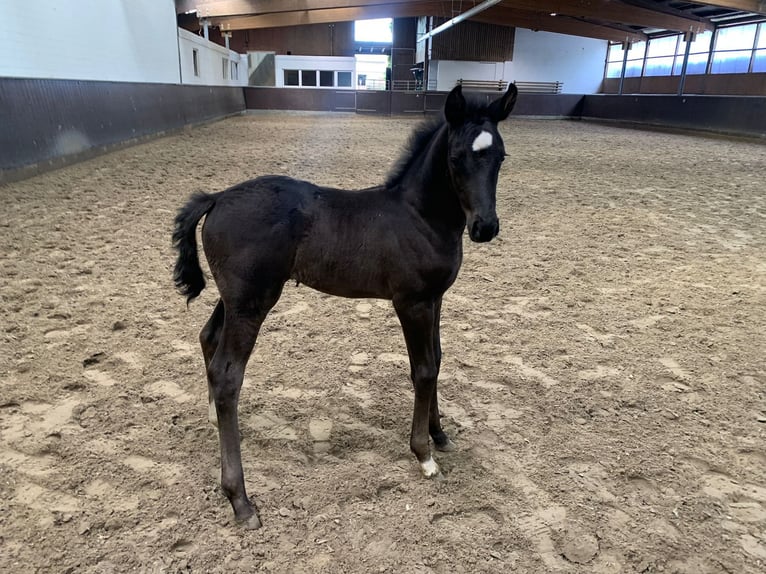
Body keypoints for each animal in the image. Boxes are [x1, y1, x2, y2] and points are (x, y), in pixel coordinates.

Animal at [173, 83, 520, 528]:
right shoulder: (412, 302)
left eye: (500, 157)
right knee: (227, 374)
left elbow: (438, 360)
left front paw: (440, 435)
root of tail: (216, 198)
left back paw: (214, 421)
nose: (485, 227)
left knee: (208, 337)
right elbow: (423, 370)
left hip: (235, 298)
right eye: (457, 158)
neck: (419, 217)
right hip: (252, 302)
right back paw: (240, 500)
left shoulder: (436, 298)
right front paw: (423, 454)